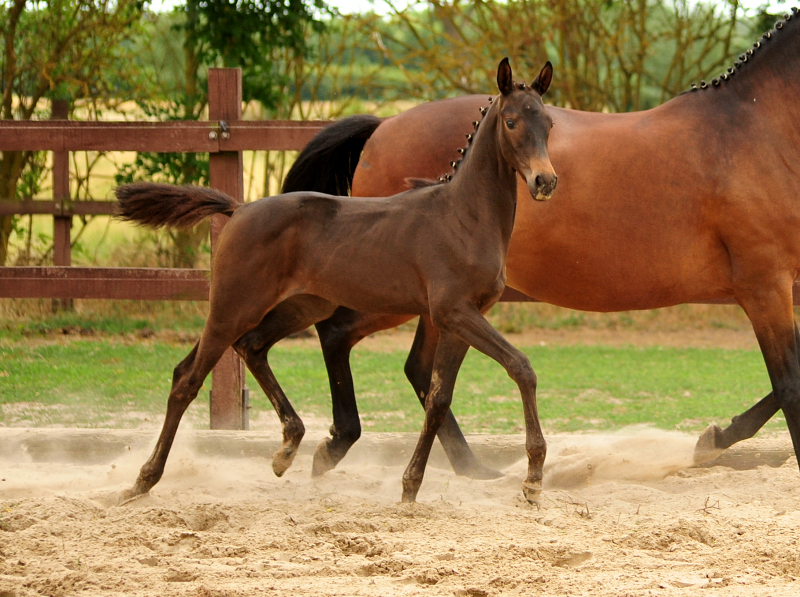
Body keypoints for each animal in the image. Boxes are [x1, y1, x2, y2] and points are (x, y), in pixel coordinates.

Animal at [117, 57, 556, 502]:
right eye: (512, 121)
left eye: (549, 123)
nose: (545, 181)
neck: (464, 216)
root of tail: (238, 209)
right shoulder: (455, 312)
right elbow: (521, 367)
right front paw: (534, 476)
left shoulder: (459, 318)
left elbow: (438, 397)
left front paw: (411, 486)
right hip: (232, 307)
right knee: (186, 379)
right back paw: (143, 479)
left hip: (300, 305)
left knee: (250, 347)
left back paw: (288, 448)